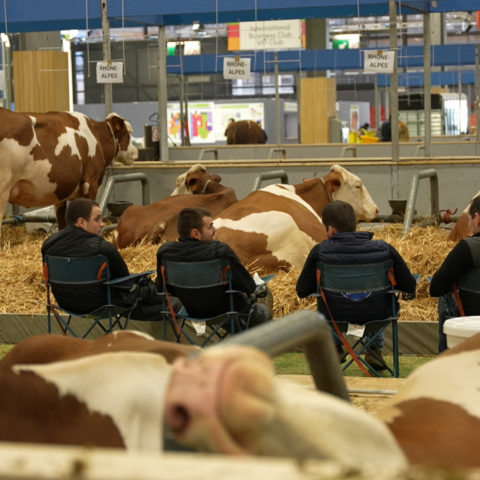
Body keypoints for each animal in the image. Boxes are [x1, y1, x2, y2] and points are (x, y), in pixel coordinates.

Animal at [0, 108, 139, 237]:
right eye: (130, 132)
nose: (136, 152)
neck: (95, 136)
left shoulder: (60, 192)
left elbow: (62, 223)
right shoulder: (91, 183)